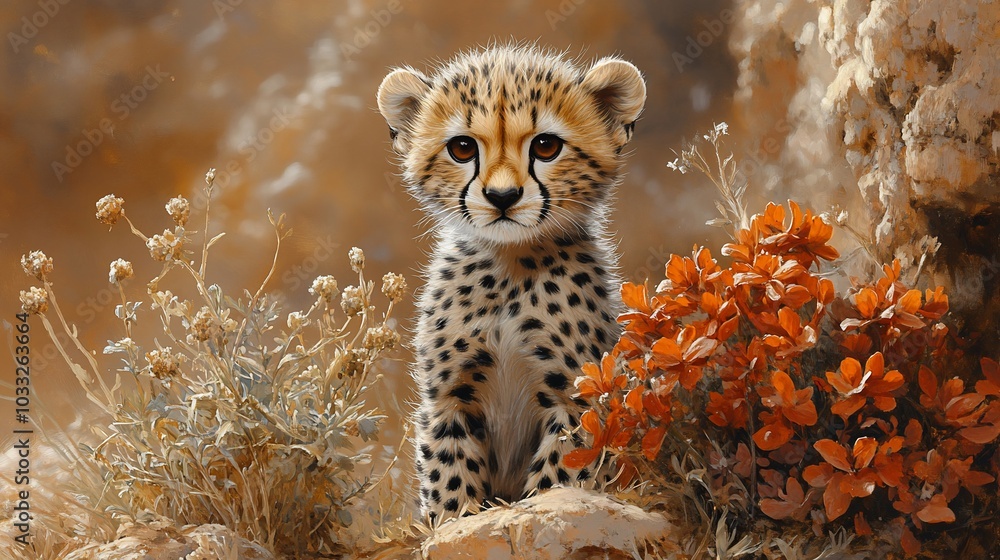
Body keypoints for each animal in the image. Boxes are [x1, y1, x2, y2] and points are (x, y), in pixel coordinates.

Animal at [376, 44, 646, 522]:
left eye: (546, 145)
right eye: (463, 148)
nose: (502, 197)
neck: (509, 266)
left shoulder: (576, 399)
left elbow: (561, 474)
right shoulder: (448, 398)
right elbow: (448, 476)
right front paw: (455, 519)